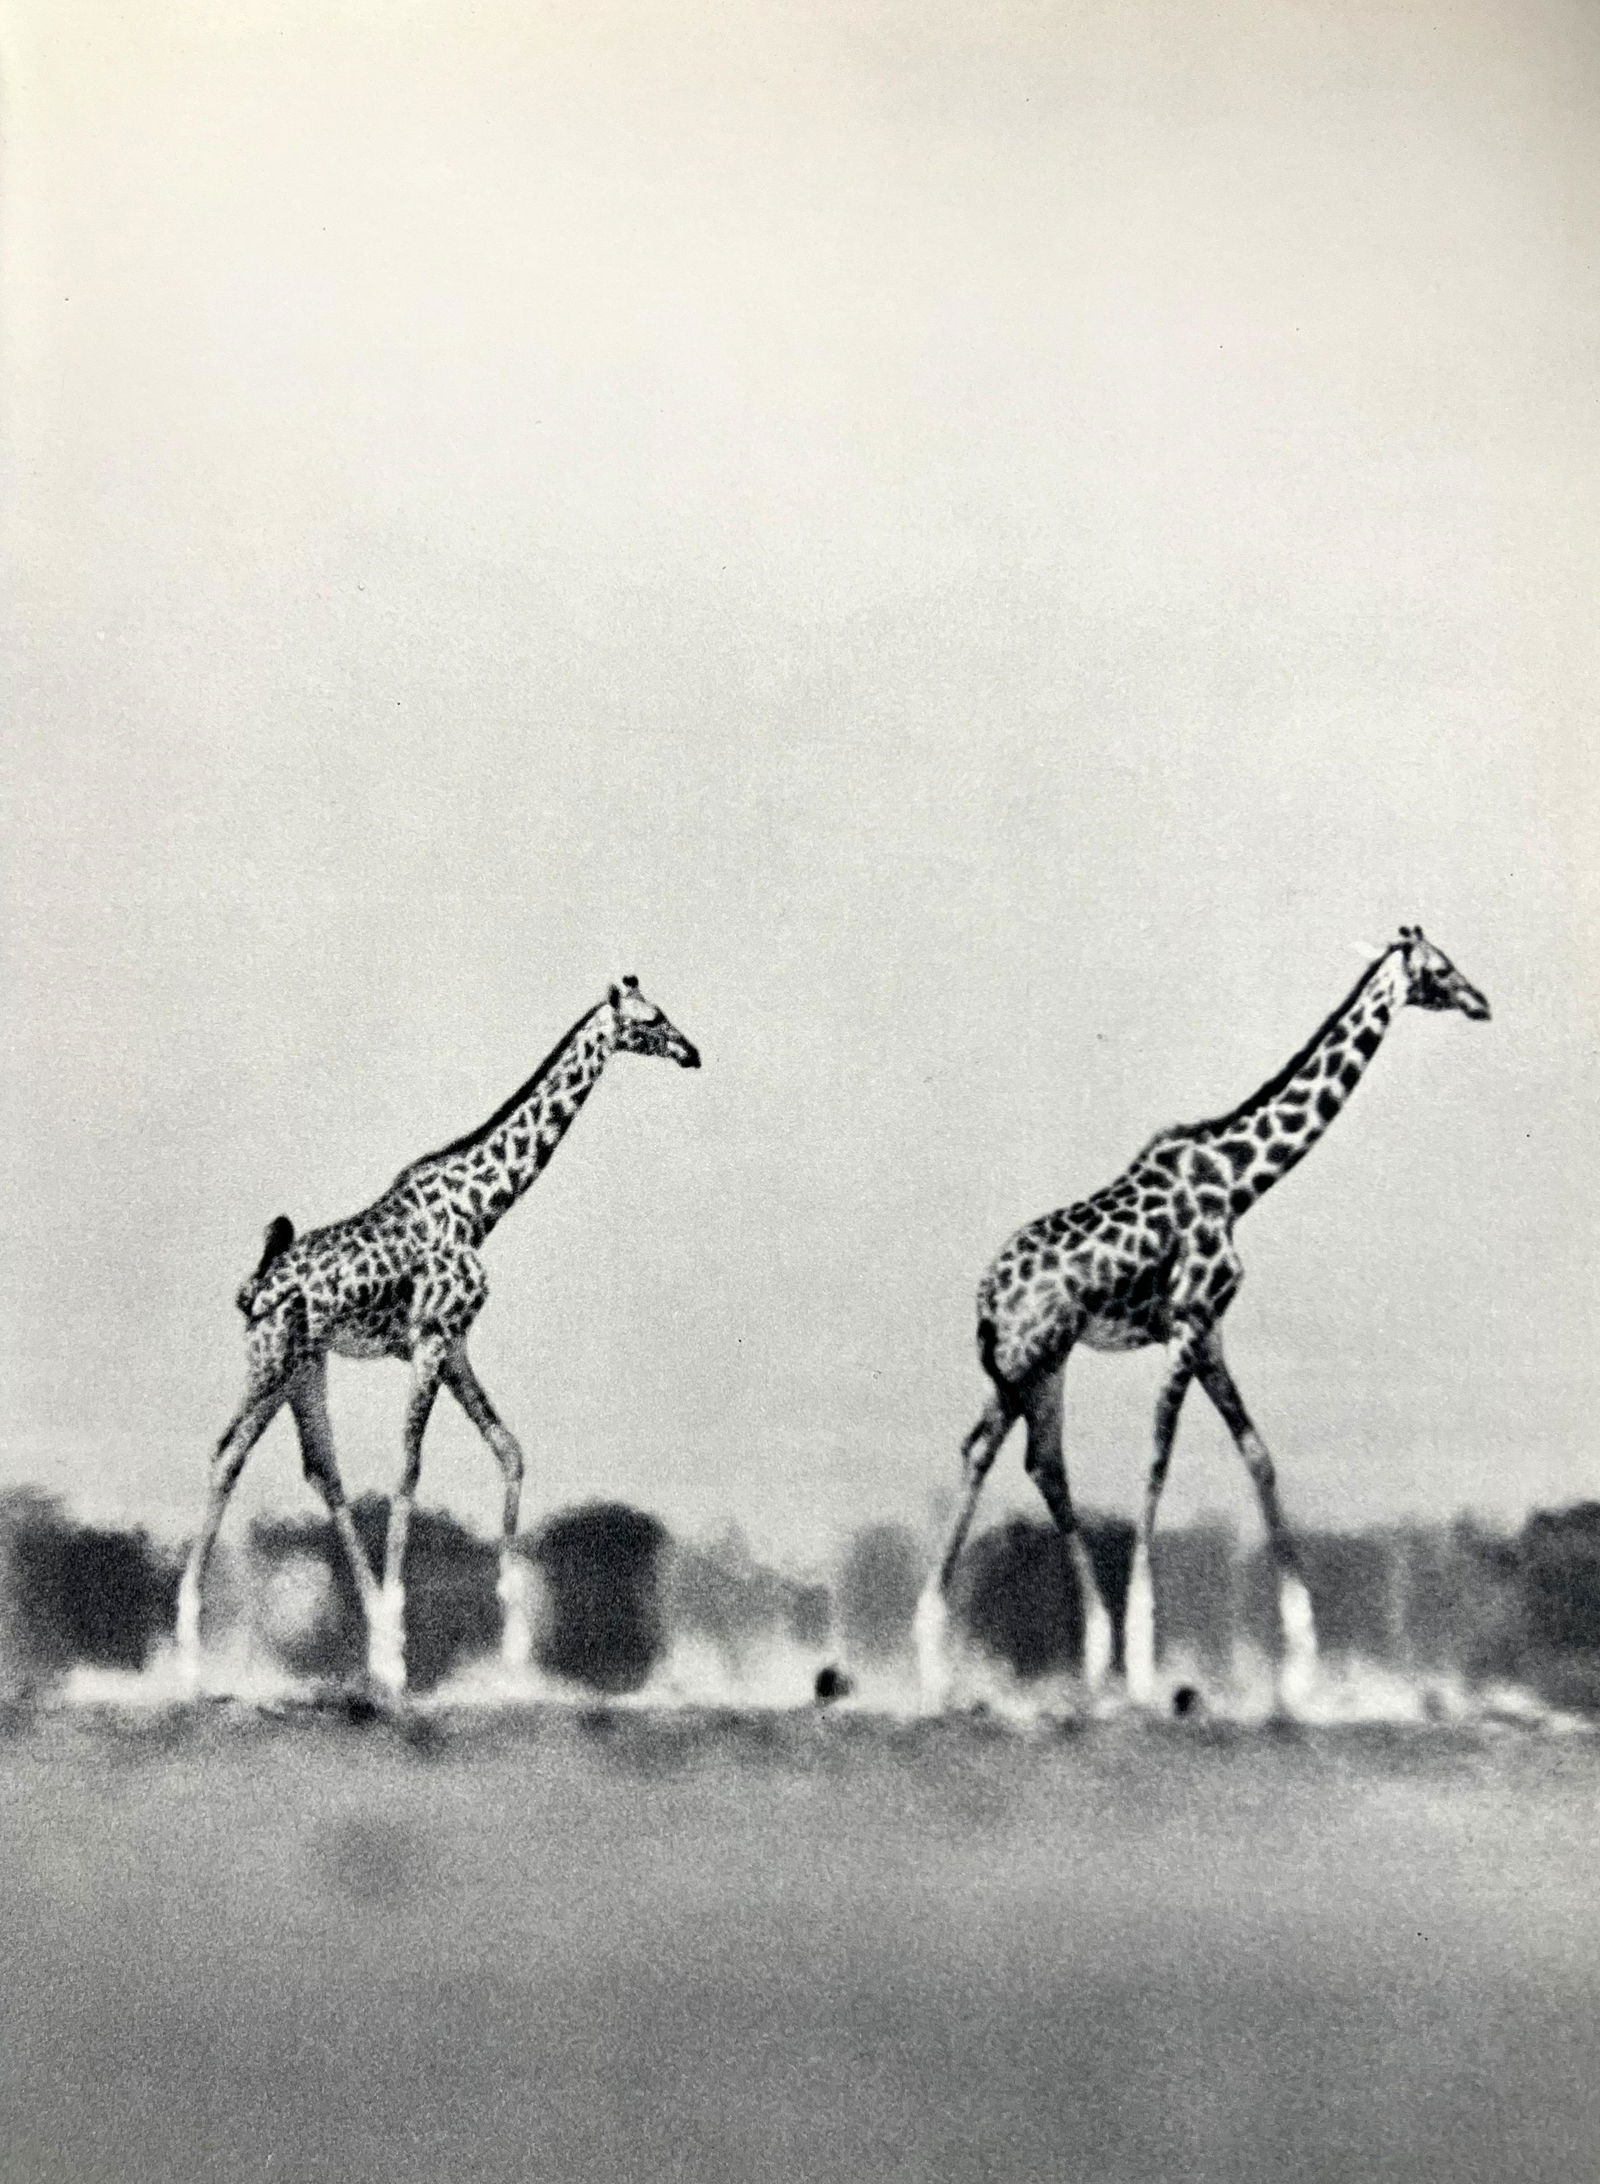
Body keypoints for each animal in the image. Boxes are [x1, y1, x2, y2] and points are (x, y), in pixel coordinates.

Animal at [174, 977, 701, 1698]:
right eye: (650, 1019)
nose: (692, 1052)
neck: (482, 1208)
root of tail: (253, 1286)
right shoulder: (429, 1340)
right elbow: (409, 1469)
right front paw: (405, 1651)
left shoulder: (453, 1345)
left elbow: (509, 1450)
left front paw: (512, 1646)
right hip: (271, 1356)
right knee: (226, 1452)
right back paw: (189, 1653)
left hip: (306, 1364)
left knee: (320, 1470)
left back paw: (365, 1640)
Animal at [914, 926, 1490, 1716]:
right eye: (1440, 968)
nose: (1482, 1001)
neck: (1241, 1180)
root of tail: (985, 1294)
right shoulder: (1187, 1321)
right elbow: (1157, 1459)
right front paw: (1145, 1660)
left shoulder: (1211, 1331)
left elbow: (1258, 1456)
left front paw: (1300, 1668)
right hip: (1030, 1354)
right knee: (990, 1451)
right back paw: (949, 1657)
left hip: (1042, 1360)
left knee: (1035, 1460)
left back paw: (1074, 1657)